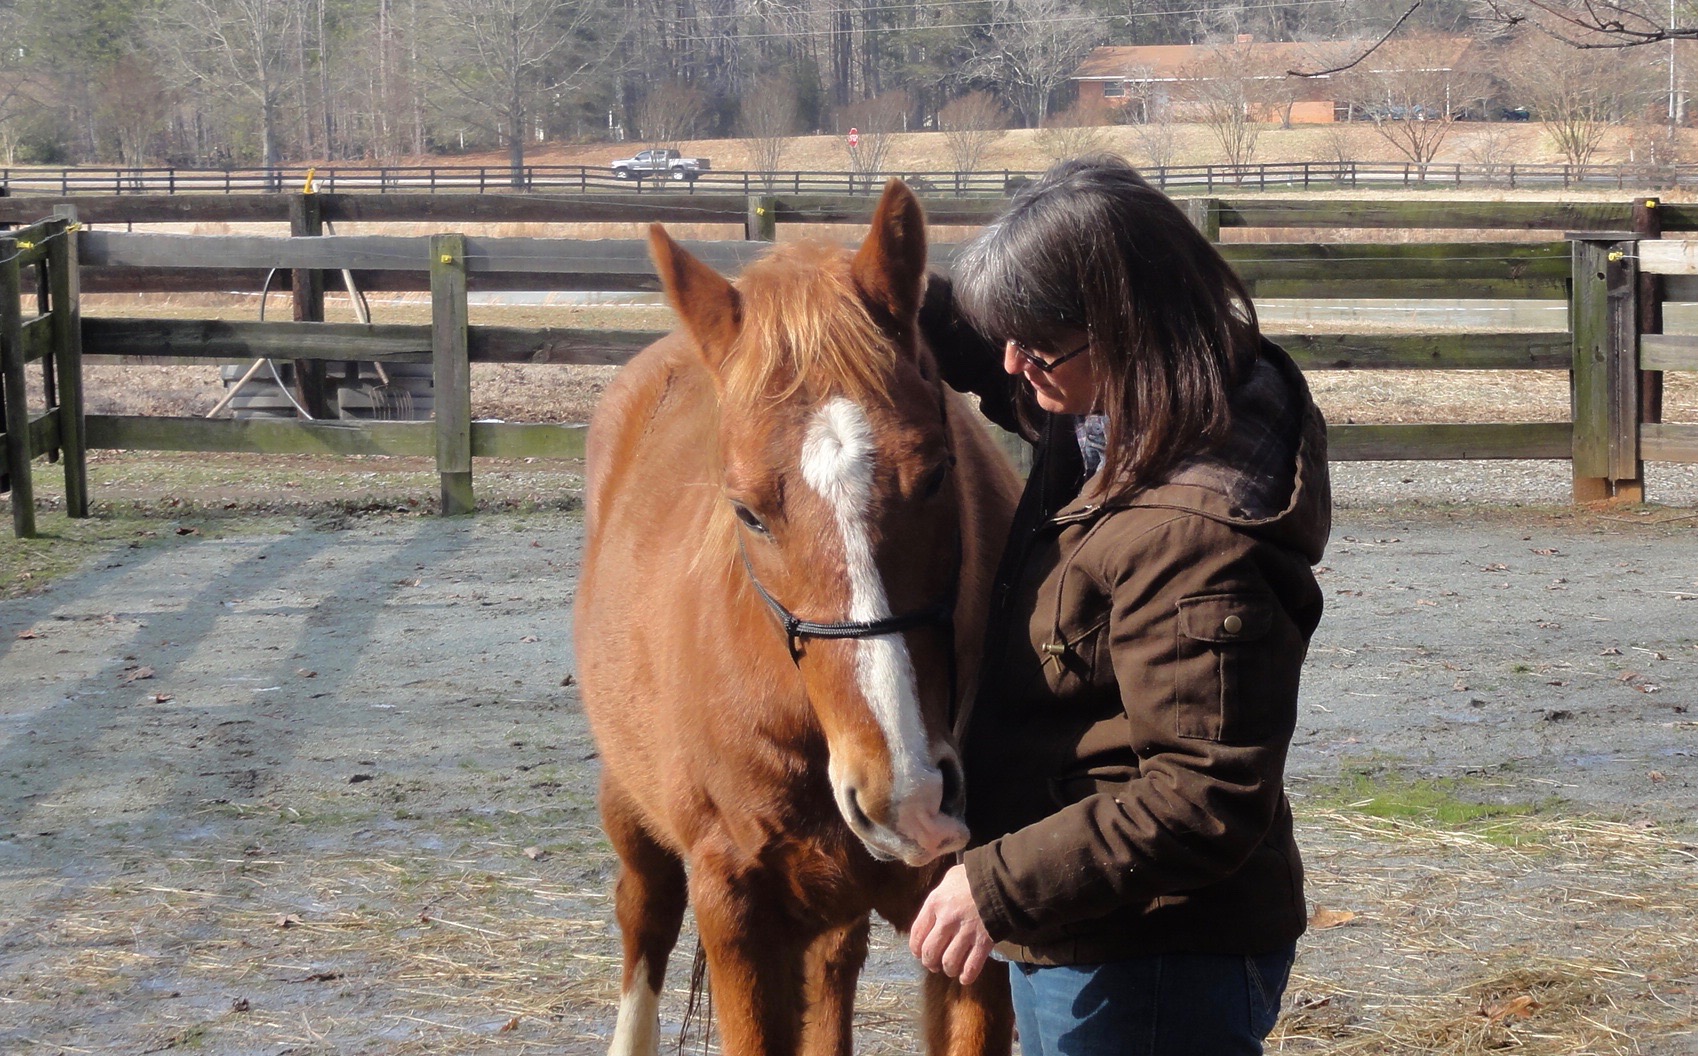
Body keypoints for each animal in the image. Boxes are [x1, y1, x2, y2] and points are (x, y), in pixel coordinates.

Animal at [577, 181, 1012, 1056]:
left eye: (937, 473)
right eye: (747, 511)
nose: (906, 793)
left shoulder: (969, 928)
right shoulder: (737, 910)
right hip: (634, 811)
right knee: (645, 915)